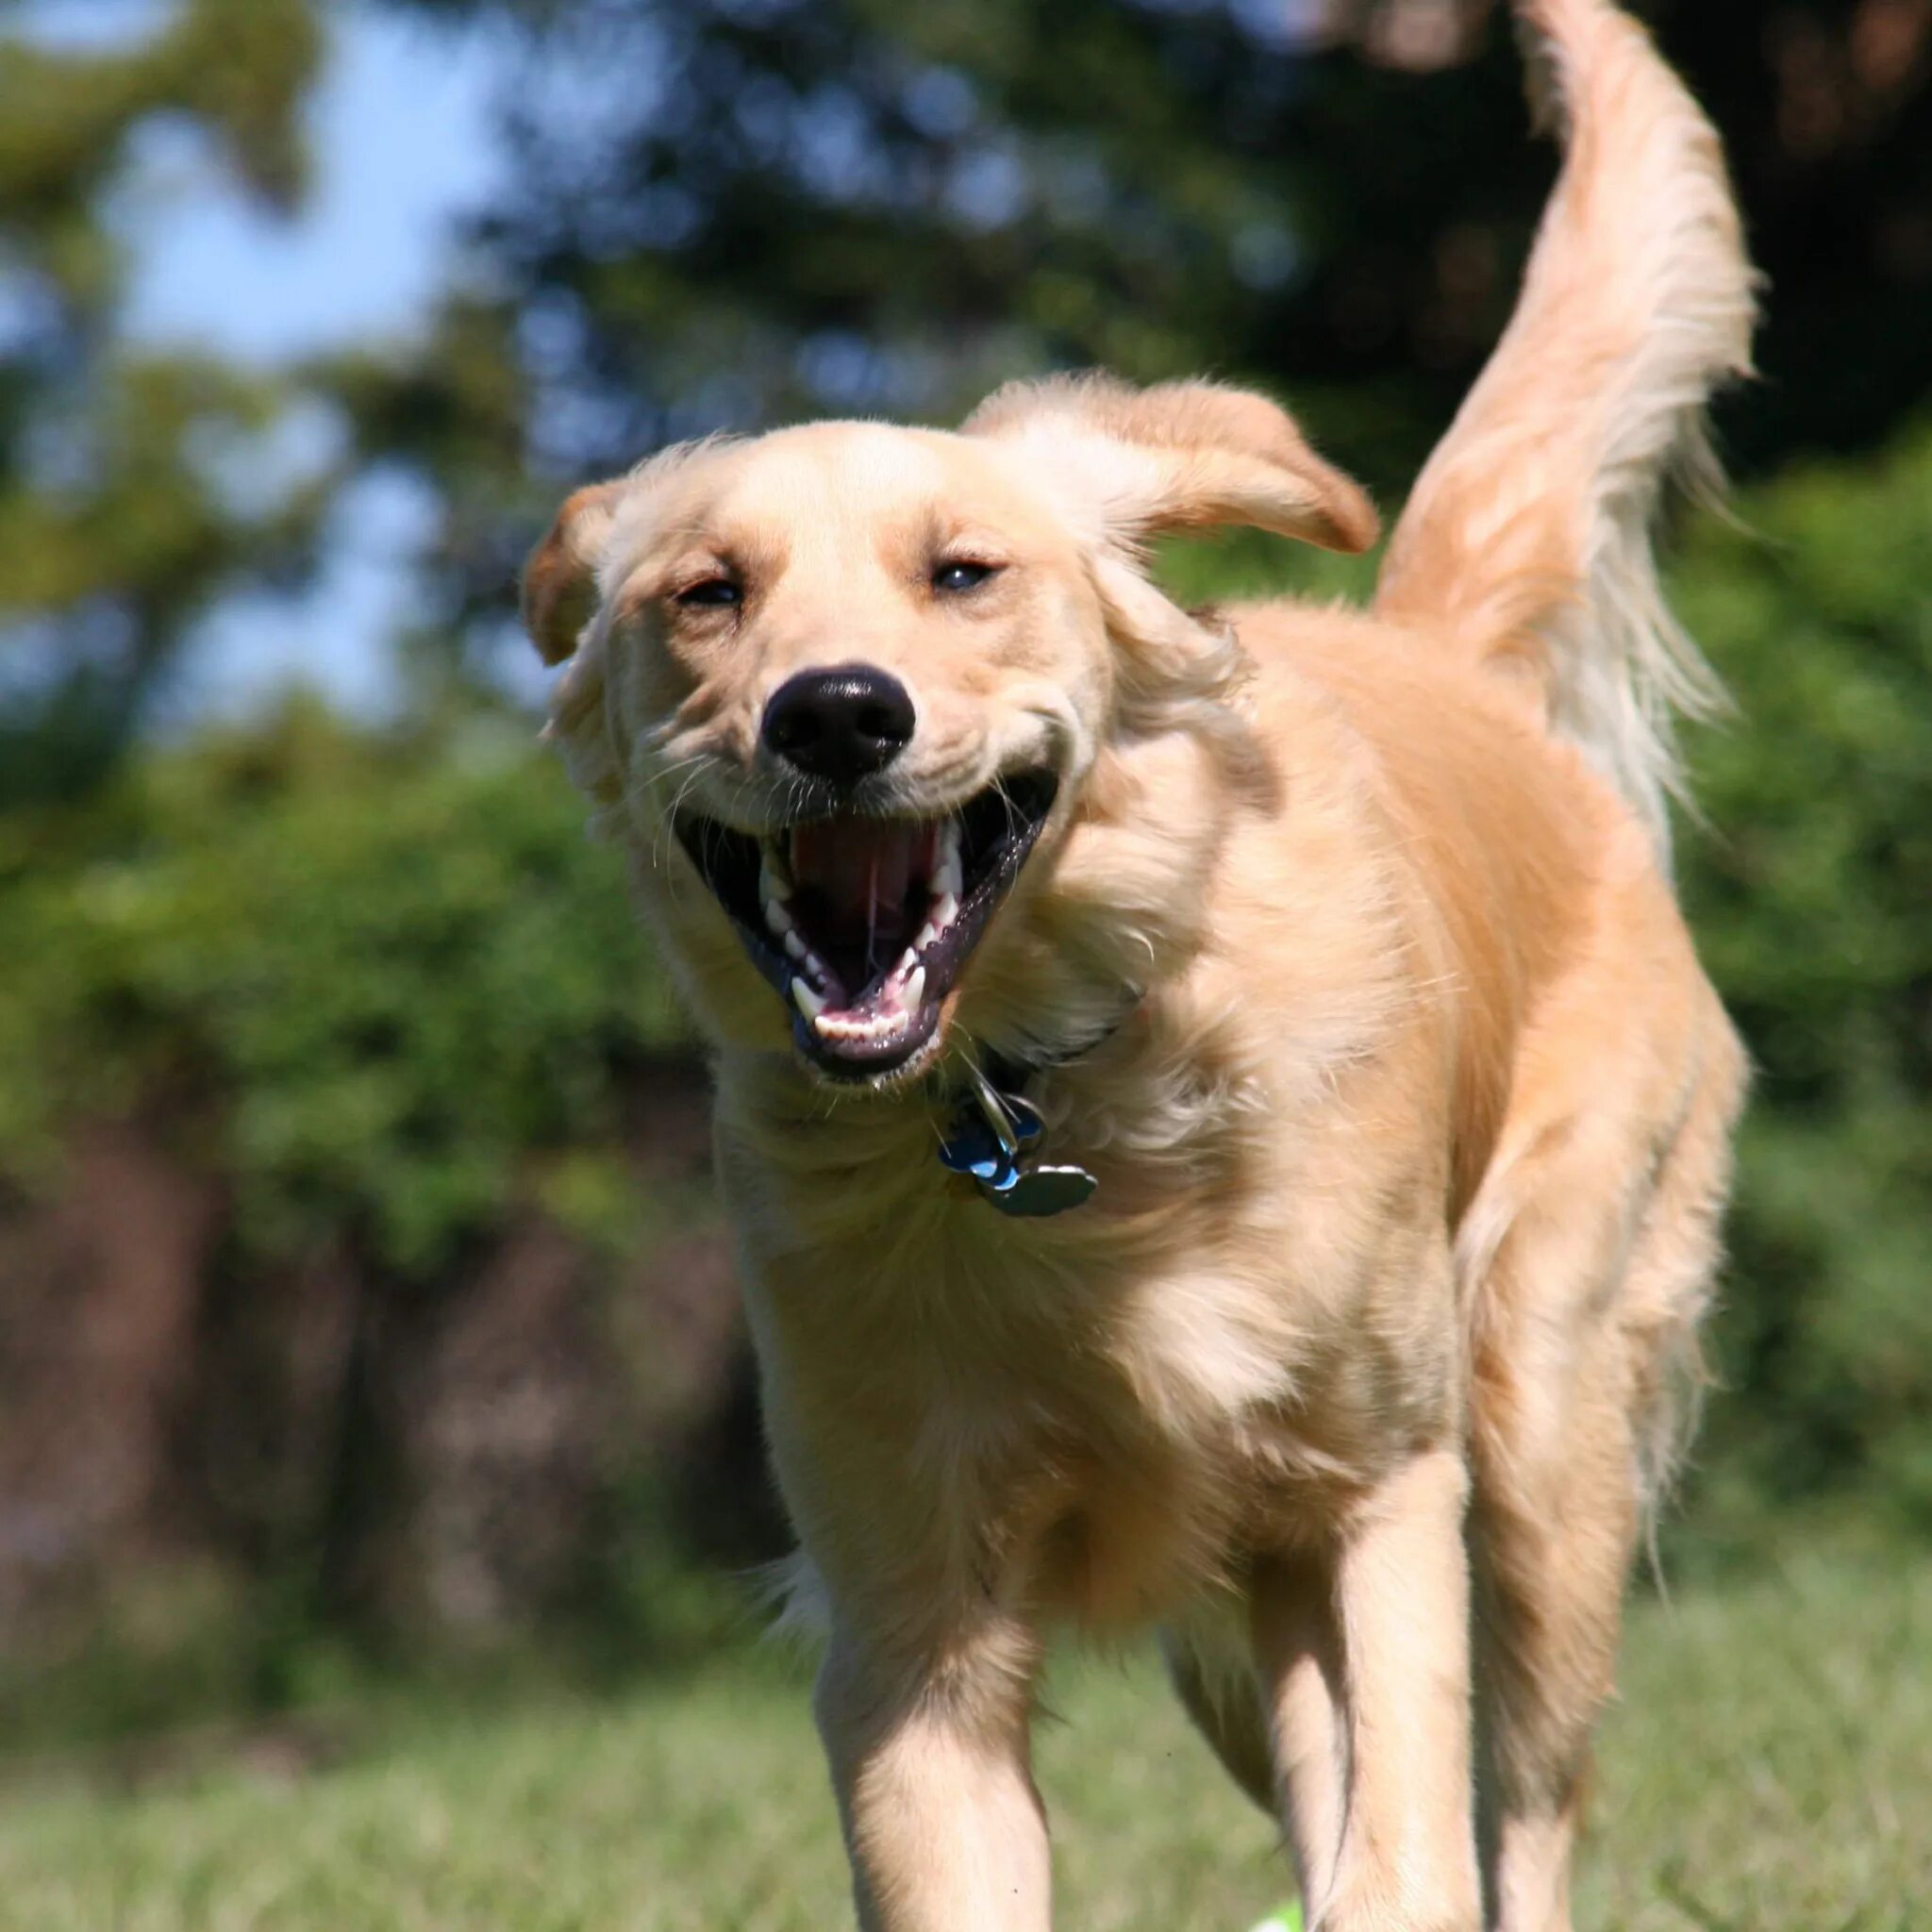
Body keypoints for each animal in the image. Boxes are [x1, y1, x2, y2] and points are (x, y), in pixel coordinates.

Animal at [521, 0, 1761, 1924]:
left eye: (964, 573)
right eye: (704, 595)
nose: (838, 715)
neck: (1031, 1103)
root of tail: (1446, 666)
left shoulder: (1376, 1492)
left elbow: (1408, 1850)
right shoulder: (910, 1625)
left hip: (1544, 1425)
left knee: (1526, 1811)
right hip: (1229, 1649)